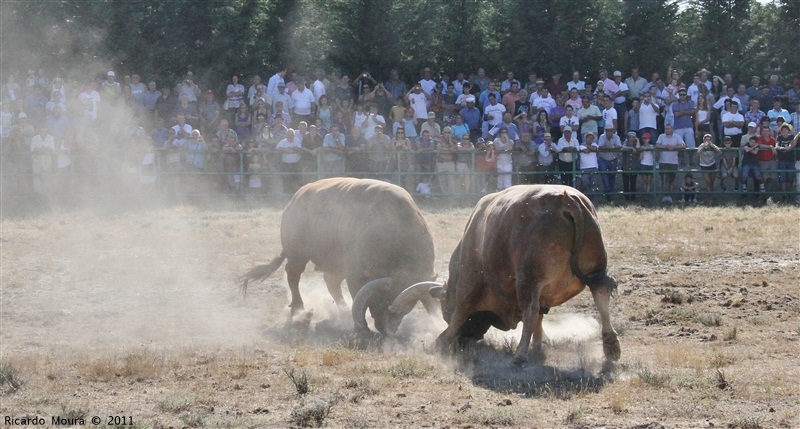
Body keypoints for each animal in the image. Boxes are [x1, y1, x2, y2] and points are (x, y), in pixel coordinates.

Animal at [239, 177, 438, 334]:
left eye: (404, 309)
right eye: (380, 300)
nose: (386, 329)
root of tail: (295, 199)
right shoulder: (355, 274)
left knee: (331, 282)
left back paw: (342, 311)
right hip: (297, 254)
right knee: (293, 275)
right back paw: (299, 310)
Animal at [394, 184, 620, 364]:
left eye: (445, 310)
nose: (465, 340)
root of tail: (565, 200)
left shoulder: (470, 278)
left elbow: (462, 309)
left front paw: (442, 339)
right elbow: (540, 317)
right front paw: (539, 344)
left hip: (529, 278)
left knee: (530, 310)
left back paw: (520, 354)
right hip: (594, 268)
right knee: (600, 293)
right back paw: (611, 346)